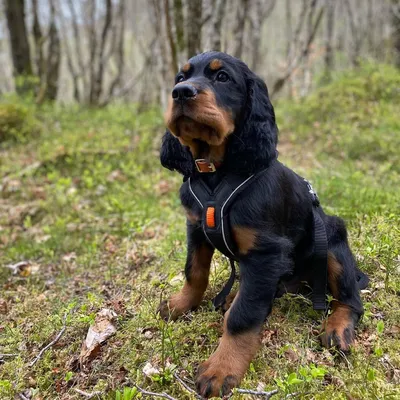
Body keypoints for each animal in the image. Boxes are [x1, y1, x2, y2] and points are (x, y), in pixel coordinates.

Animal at [158, 51, 368, 398]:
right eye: (180, 78)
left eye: (223, 78)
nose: (181, 93)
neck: (217, 170)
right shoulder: (196, 229)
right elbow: (195, 272)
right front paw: (180, 304)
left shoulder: (266, 251)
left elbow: (243, 316)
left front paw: (222, 368)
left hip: (332, 241)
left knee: (350, 299)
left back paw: (337, 328)